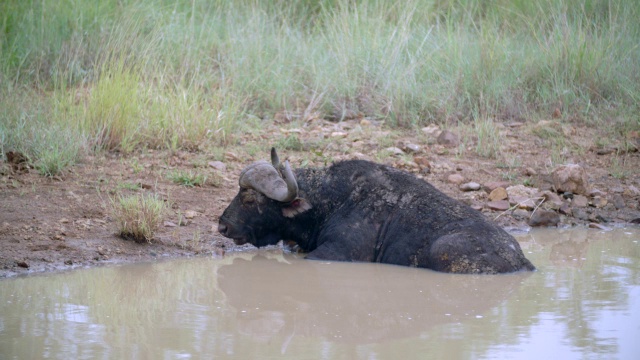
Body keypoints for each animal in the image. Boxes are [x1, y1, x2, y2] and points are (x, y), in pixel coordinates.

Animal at [220, 148, 536, 274]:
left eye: (249, 200)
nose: (222, 225)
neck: (327, 203)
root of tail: (521, 258)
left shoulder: (335, 254)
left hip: (445, 251)